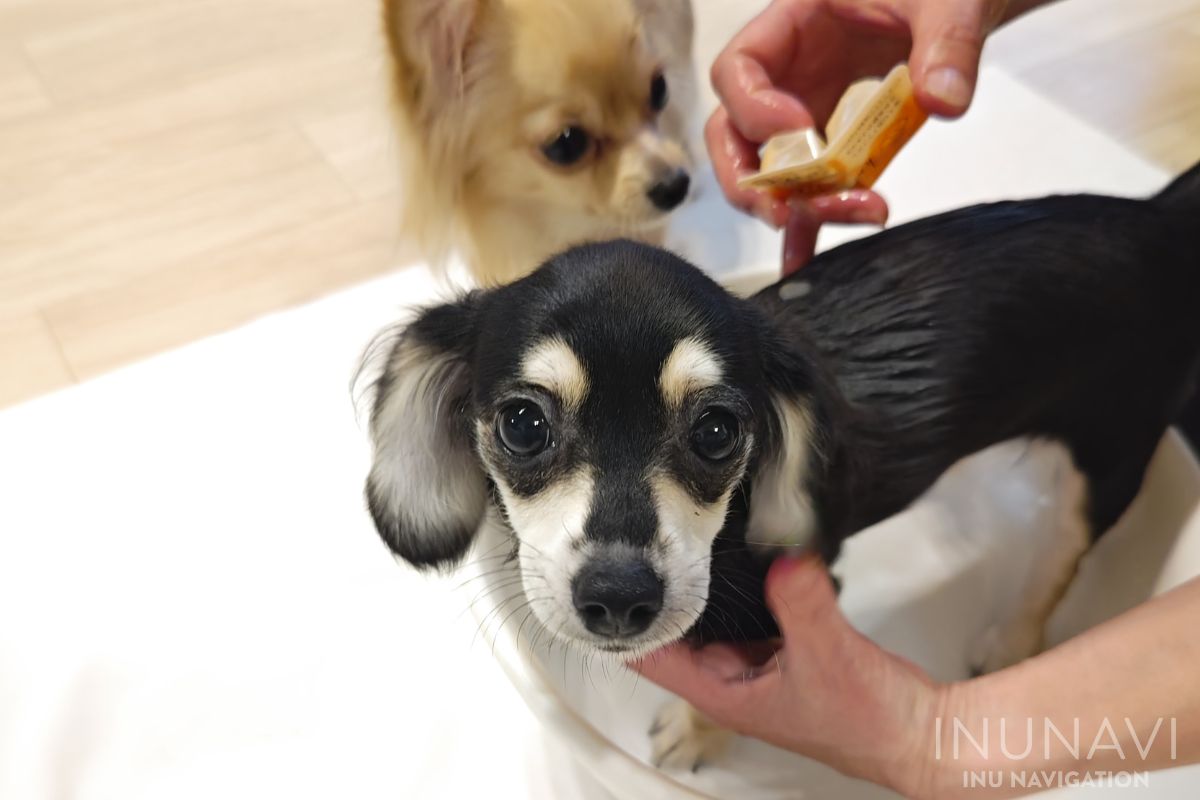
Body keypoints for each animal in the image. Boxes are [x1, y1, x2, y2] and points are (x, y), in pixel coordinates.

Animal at [362, 159, 1200, 753]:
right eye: (523, 424)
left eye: (716, 432)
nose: (619, 596)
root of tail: (1161, 218)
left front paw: (694, 734)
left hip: (1110, 458)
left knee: (1062, 557)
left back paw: (1010, 643)